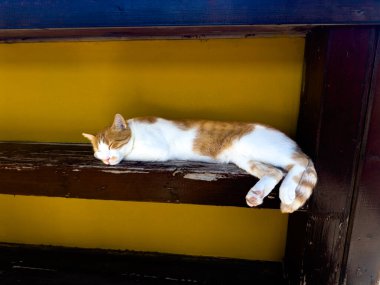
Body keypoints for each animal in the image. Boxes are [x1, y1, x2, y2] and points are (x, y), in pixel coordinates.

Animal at [84, 112, 318, 211]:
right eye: (99, 151)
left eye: (111, 145)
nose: (106, 159)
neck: (136, 130)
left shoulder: (157, 149)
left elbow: (130, 152)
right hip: (244, 158)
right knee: (275, 172)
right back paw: (255, 194)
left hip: (264, 148)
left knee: (300, 161)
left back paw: (287, 191)